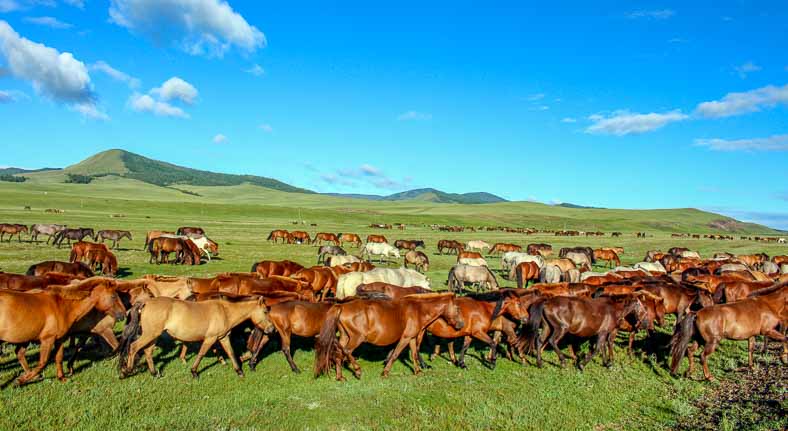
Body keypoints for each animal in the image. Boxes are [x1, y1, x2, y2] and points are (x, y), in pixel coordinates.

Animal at [116, 298, 278, 380]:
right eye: (265, 311)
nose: (272, 329)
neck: (225, 311)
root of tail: (145, 303)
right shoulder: (210, 338)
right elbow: (201, 354)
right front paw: (194, 372)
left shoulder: (223, 338)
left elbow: (231, 353)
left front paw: (239, 372)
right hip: (150, 334)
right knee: (134, 347)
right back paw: (126, 371)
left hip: (153, 336)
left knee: (148, 352)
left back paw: (154, 373)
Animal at [312, 294, 464, 382]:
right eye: (457, 309)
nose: (461, 324)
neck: (418, 310)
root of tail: (342, 306)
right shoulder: (405, 338)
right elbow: (395, 354)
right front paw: (385, 373)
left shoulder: (412, 338)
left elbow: (414, 355)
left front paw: (418, 371)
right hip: (356, 338)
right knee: (347, 352)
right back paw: (357, 371)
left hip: (345, 337)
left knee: (338, 353)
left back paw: (340, 376)